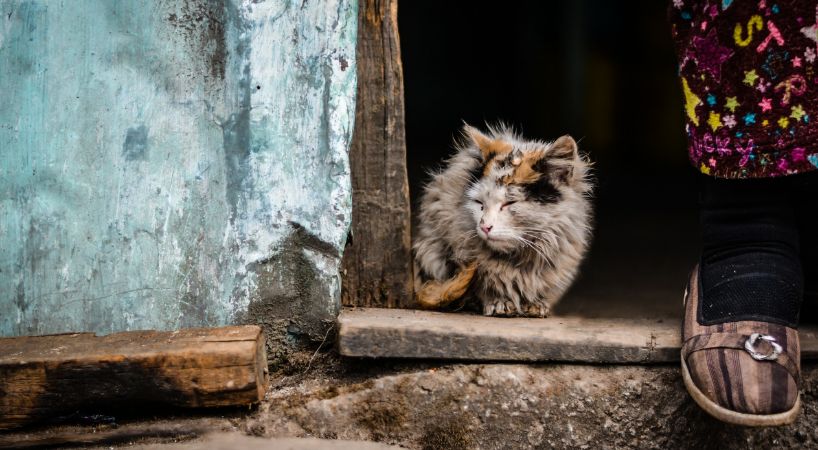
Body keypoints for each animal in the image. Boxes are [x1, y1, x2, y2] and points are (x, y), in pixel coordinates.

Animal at [412, 123, 588, 316]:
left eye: (510, 202)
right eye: (479, 203)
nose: (485, 226)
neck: (518, 260)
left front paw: (536, 305)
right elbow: (482, 285)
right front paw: (499, 302)